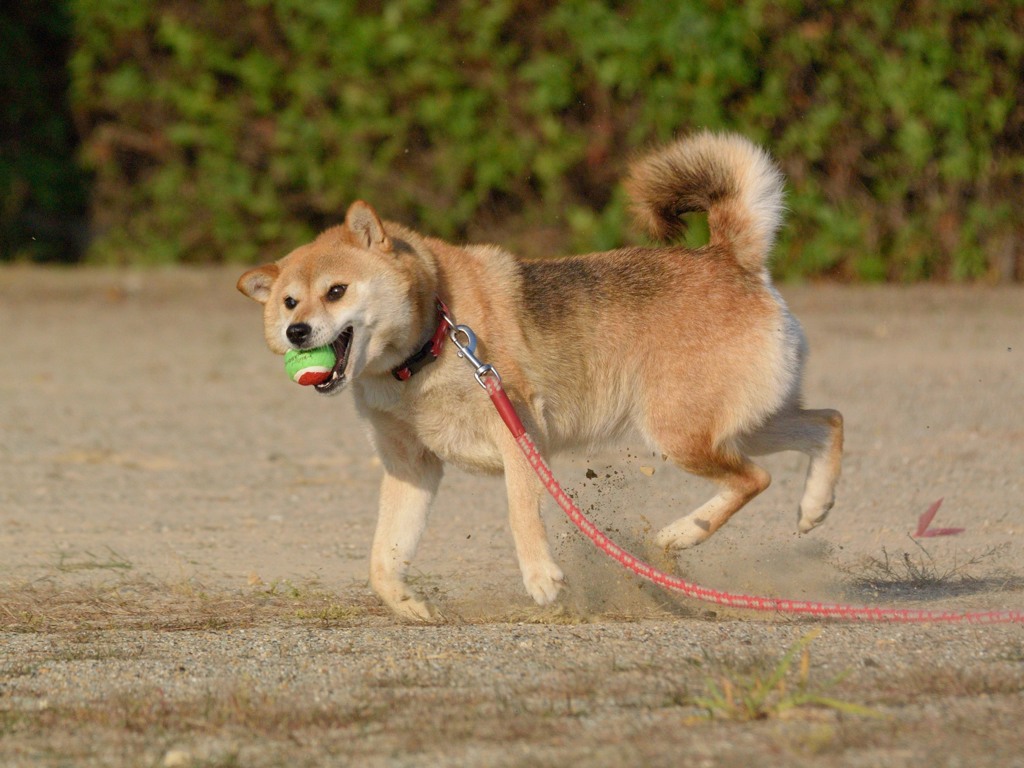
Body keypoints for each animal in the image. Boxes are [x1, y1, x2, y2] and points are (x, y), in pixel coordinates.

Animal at [237, 132, 839, 622]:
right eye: (289, 301)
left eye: (336, 291)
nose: (296, 332)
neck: (432, 336)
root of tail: (730, 259)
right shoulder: (412, 468)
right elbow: (383, 560)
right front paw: (408, 604)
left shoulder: (517, 436)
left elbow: (520, 513)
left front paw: (541, 579)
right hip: (739, 423)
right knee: (827, 423)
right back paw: (813, 507)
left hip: (681, 433)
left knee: (755, 478)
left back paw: (680, 533)